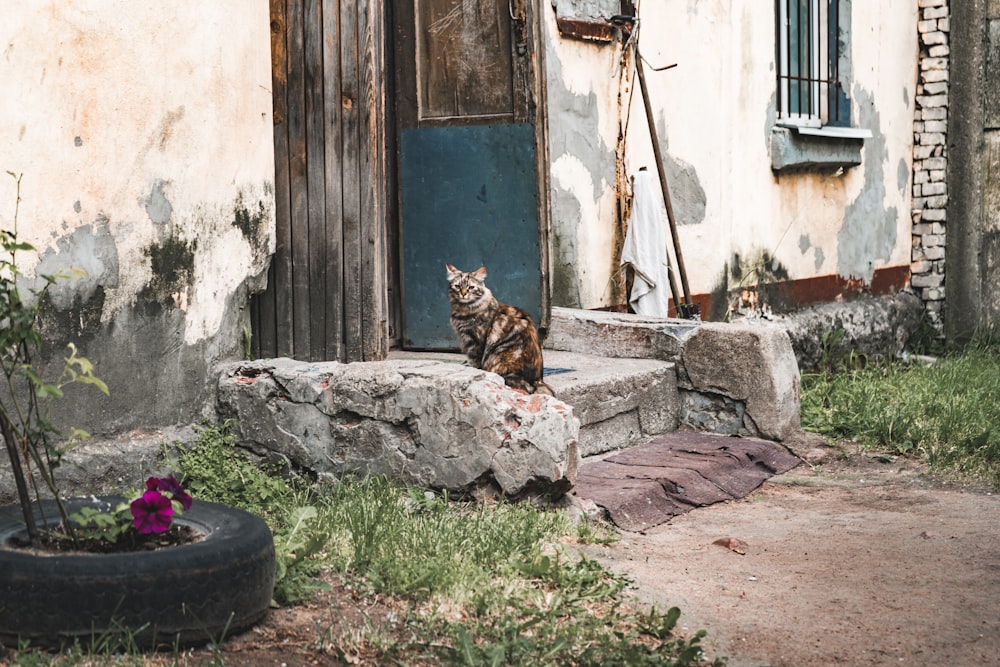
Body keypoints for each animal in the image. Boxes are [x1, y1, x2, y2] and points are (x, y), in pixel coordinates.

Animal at [448, 264, 556, 394]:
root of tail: (537, 380)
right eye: (457, 286)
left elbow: (475, 363)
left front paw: (474, 371)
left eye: (471, 287)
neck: (463, 309)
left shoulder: (474, 342)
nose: (463, 294)